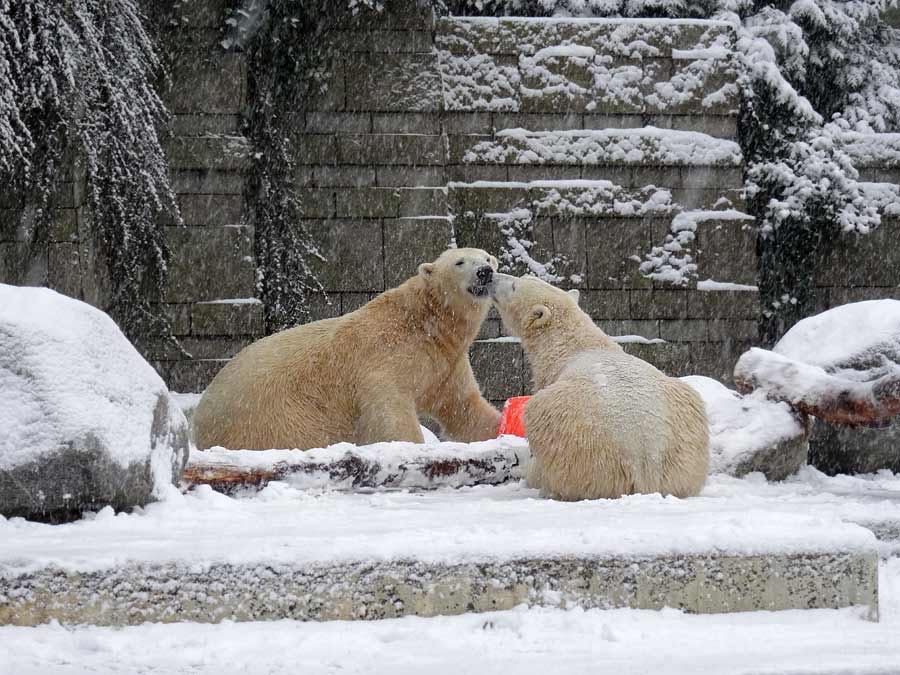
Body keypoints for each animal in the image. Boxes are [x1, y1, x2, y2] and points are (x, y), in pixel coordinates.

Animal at [194, 251, 502, 452]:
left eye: (487, 258)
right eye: (460, 262)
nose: (485, 273)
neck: (425, 321)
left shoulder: (446, 361)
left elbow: (463, 405)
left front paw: (502, 427)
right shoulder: (384, 359)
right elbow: (389, 412)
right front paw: (412, 446)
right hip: (273, 417)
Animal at [492, 274, 712, 502]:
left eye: (515, 285)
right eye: (524, 277)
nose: (491, 276)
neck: (574, 344)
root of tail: (646, 459)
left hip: (581, 444)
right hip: (685, 447)